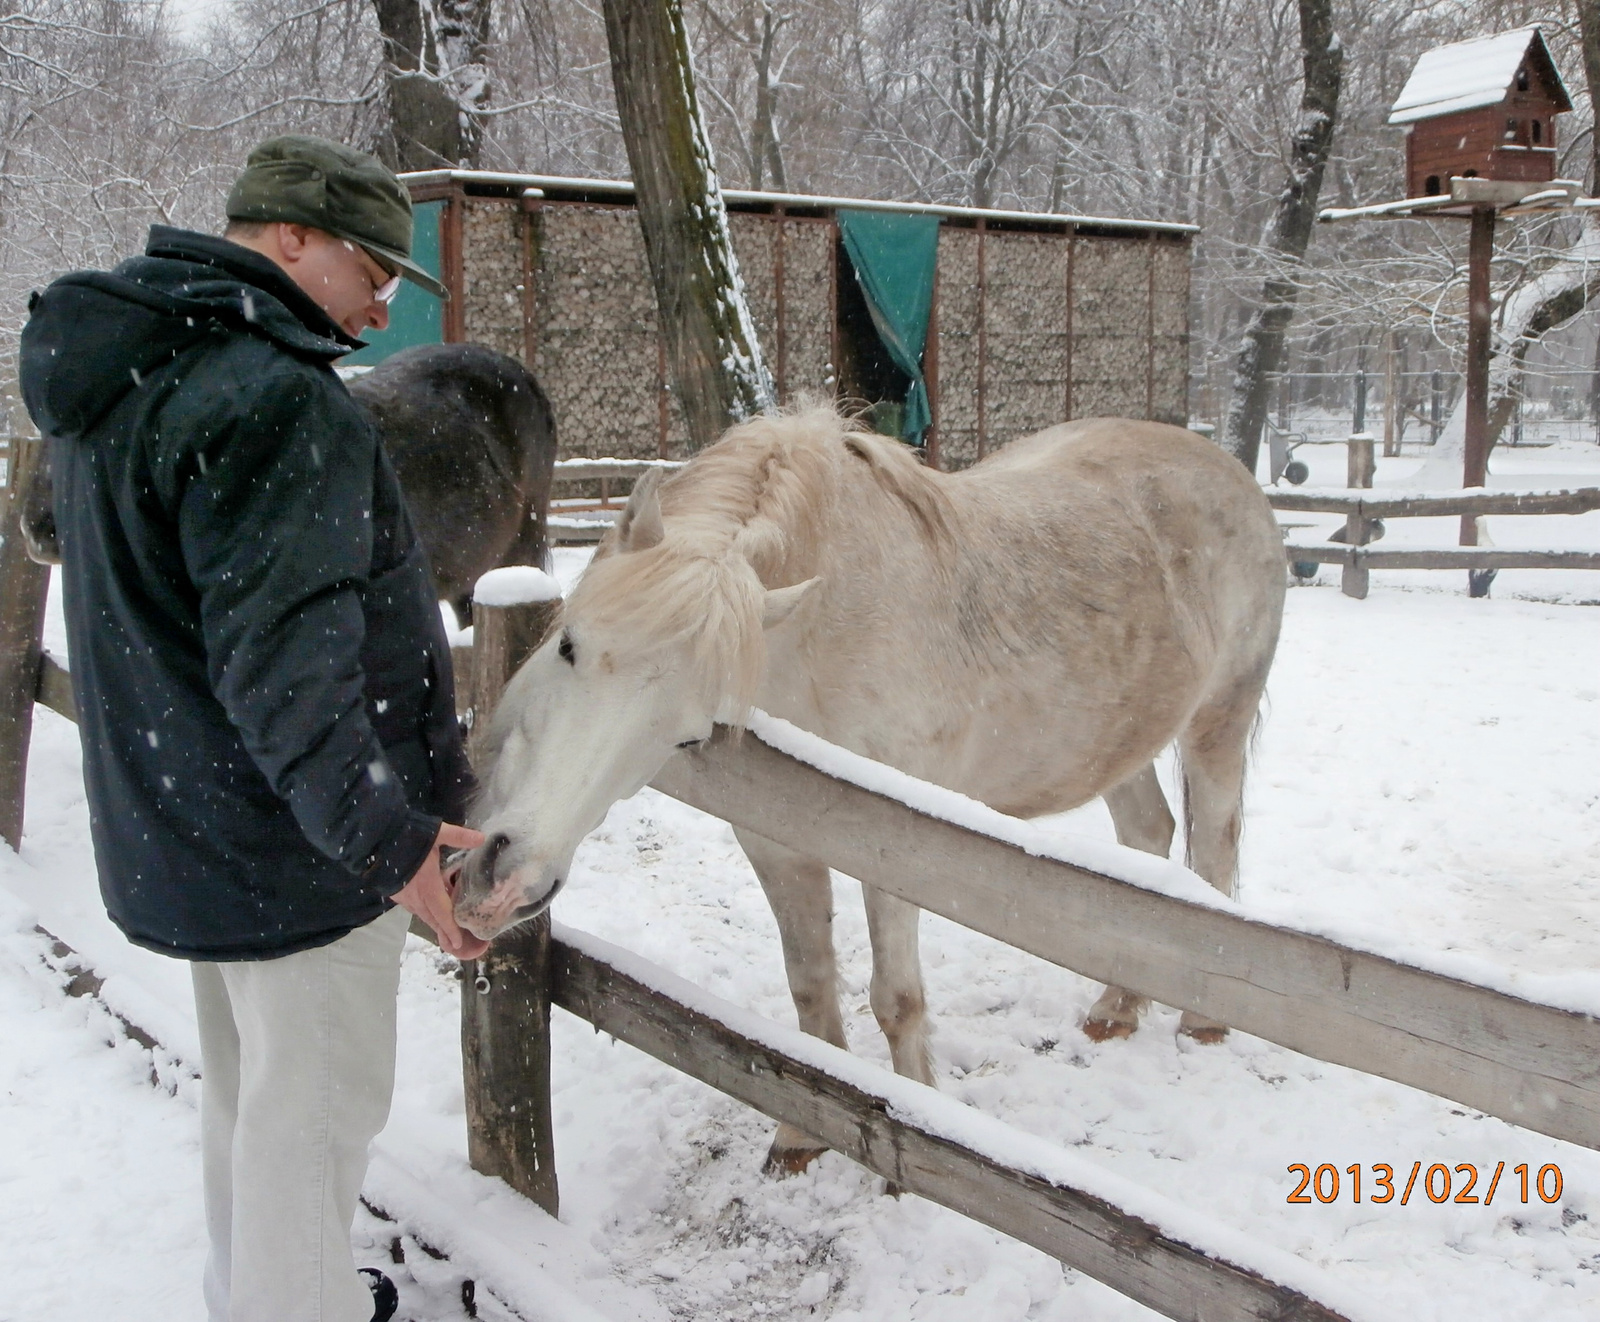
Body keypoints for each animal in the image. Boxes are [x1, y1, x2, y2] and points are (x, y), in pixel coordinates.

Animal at [451, 406, 1286, 1171]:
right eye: (568, 645)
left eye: (687, 732)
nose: (507, 882)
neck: (821, 638)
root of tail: (1227, 469)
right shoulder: (775, 841)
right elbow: (811, 985)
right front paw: (800, 1137)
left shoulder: (895, 849)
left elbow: (897, 999)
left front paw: (917, 1135)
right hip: (1119, 742)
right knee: (1148, 836)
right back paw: (1115, 1009)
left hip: (1217, 723)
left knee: (1215, 851)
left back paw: (1200, 1024)